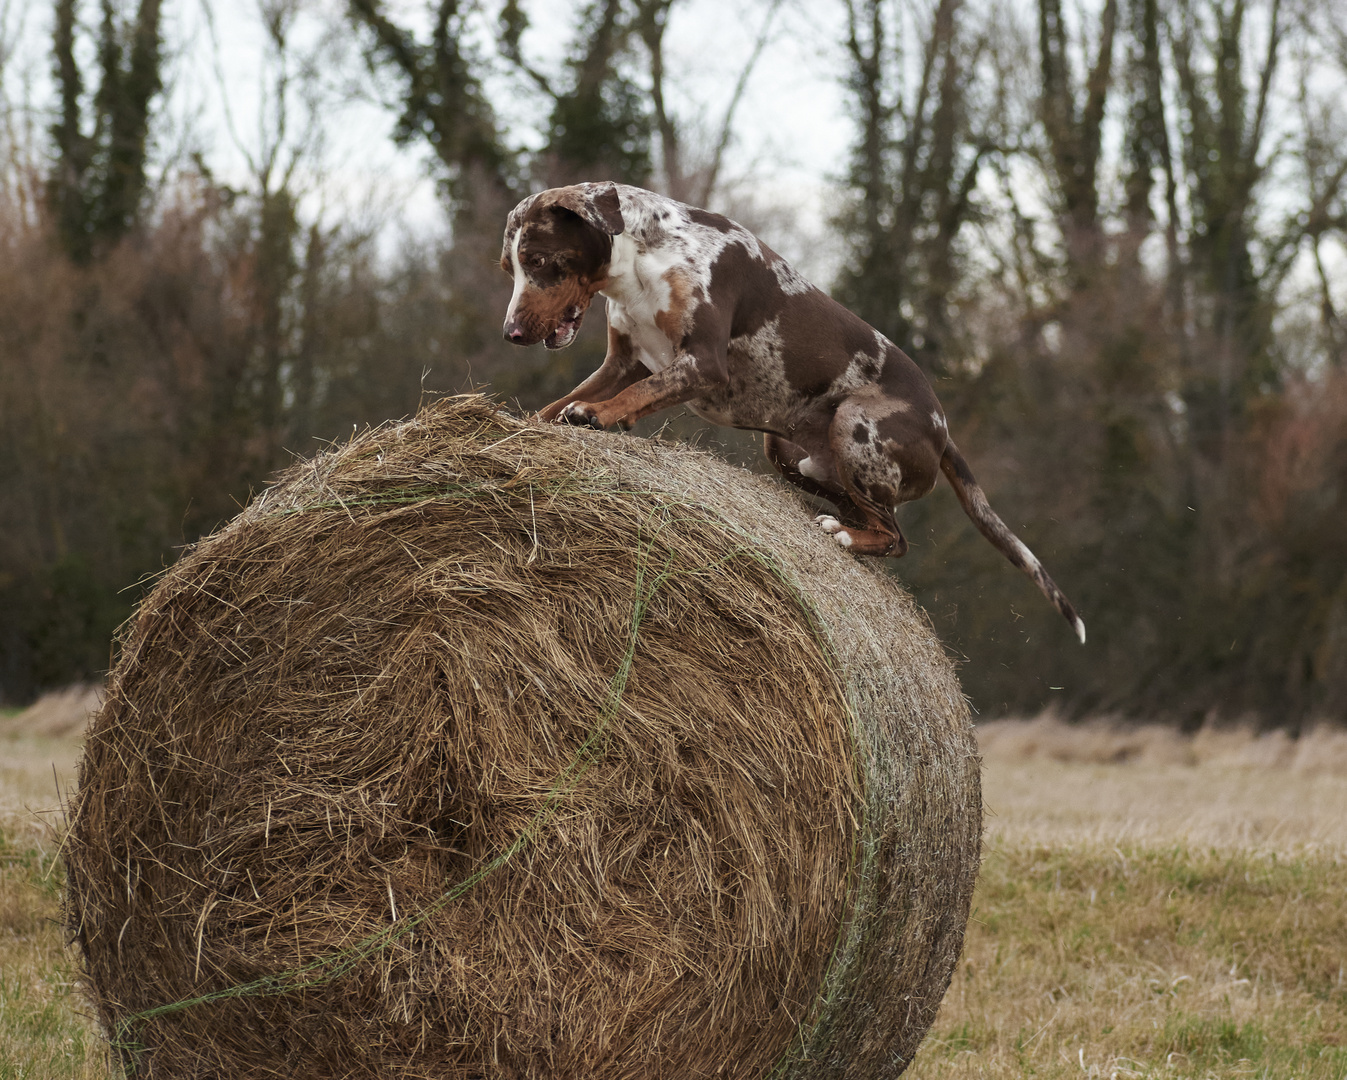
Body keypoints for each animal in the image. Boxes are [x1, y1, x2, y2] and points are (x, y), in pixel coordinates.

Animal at [498, 181, 1082, 640]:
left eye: (540, 261)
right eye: (510, 267)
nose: (512, 333)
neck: (644, 257)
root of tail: (942, 431)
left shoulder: (700, 364)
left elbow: (628, 399)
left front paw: (596, 417)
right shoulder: (624, 362)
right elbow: (559, 404)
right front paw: (527, 427)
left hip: (854, 426)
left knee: (895, 537)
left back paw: (846, 536)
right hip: (788, 454)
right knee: (862, 511)